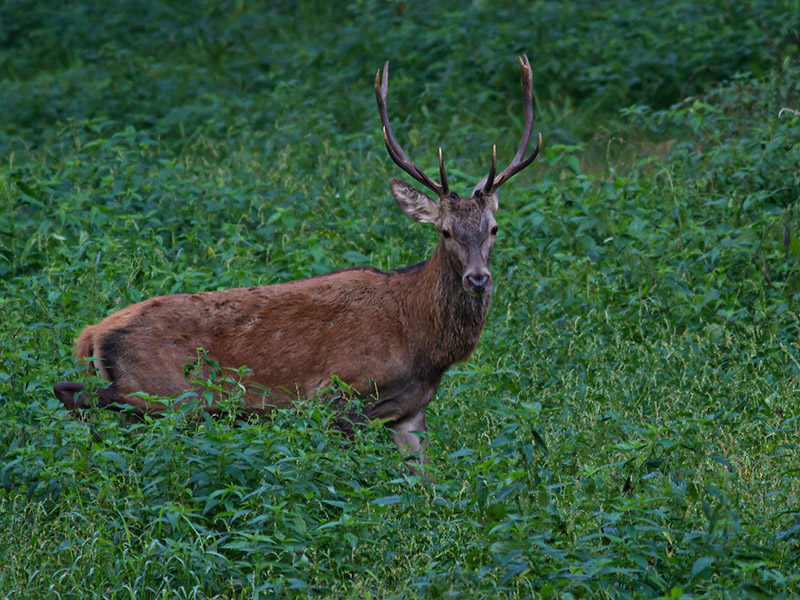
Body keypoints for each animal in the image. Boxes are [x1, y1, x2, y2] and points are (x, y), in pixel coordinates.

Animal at [54, 56, 544, 472]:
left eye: (494, 228)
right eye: (445, 232)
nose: (478, 279)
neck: (422, 343)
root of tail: (91, 334)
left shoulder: (410, 414)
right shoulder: (338, 395)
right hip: (164, 393)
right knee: (88, 397)